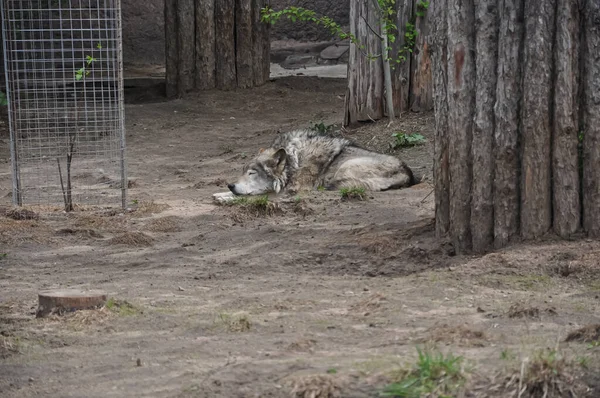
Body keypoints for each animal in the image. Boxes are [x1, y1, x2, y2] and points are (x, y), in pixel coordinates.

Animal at [227, 128, 414, 195]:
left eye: (251, 173)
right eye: (242, 172)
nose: (230, 185)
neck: (295, 161)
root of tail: (408, 173)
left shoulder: (293, 188)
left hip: (345, 166)